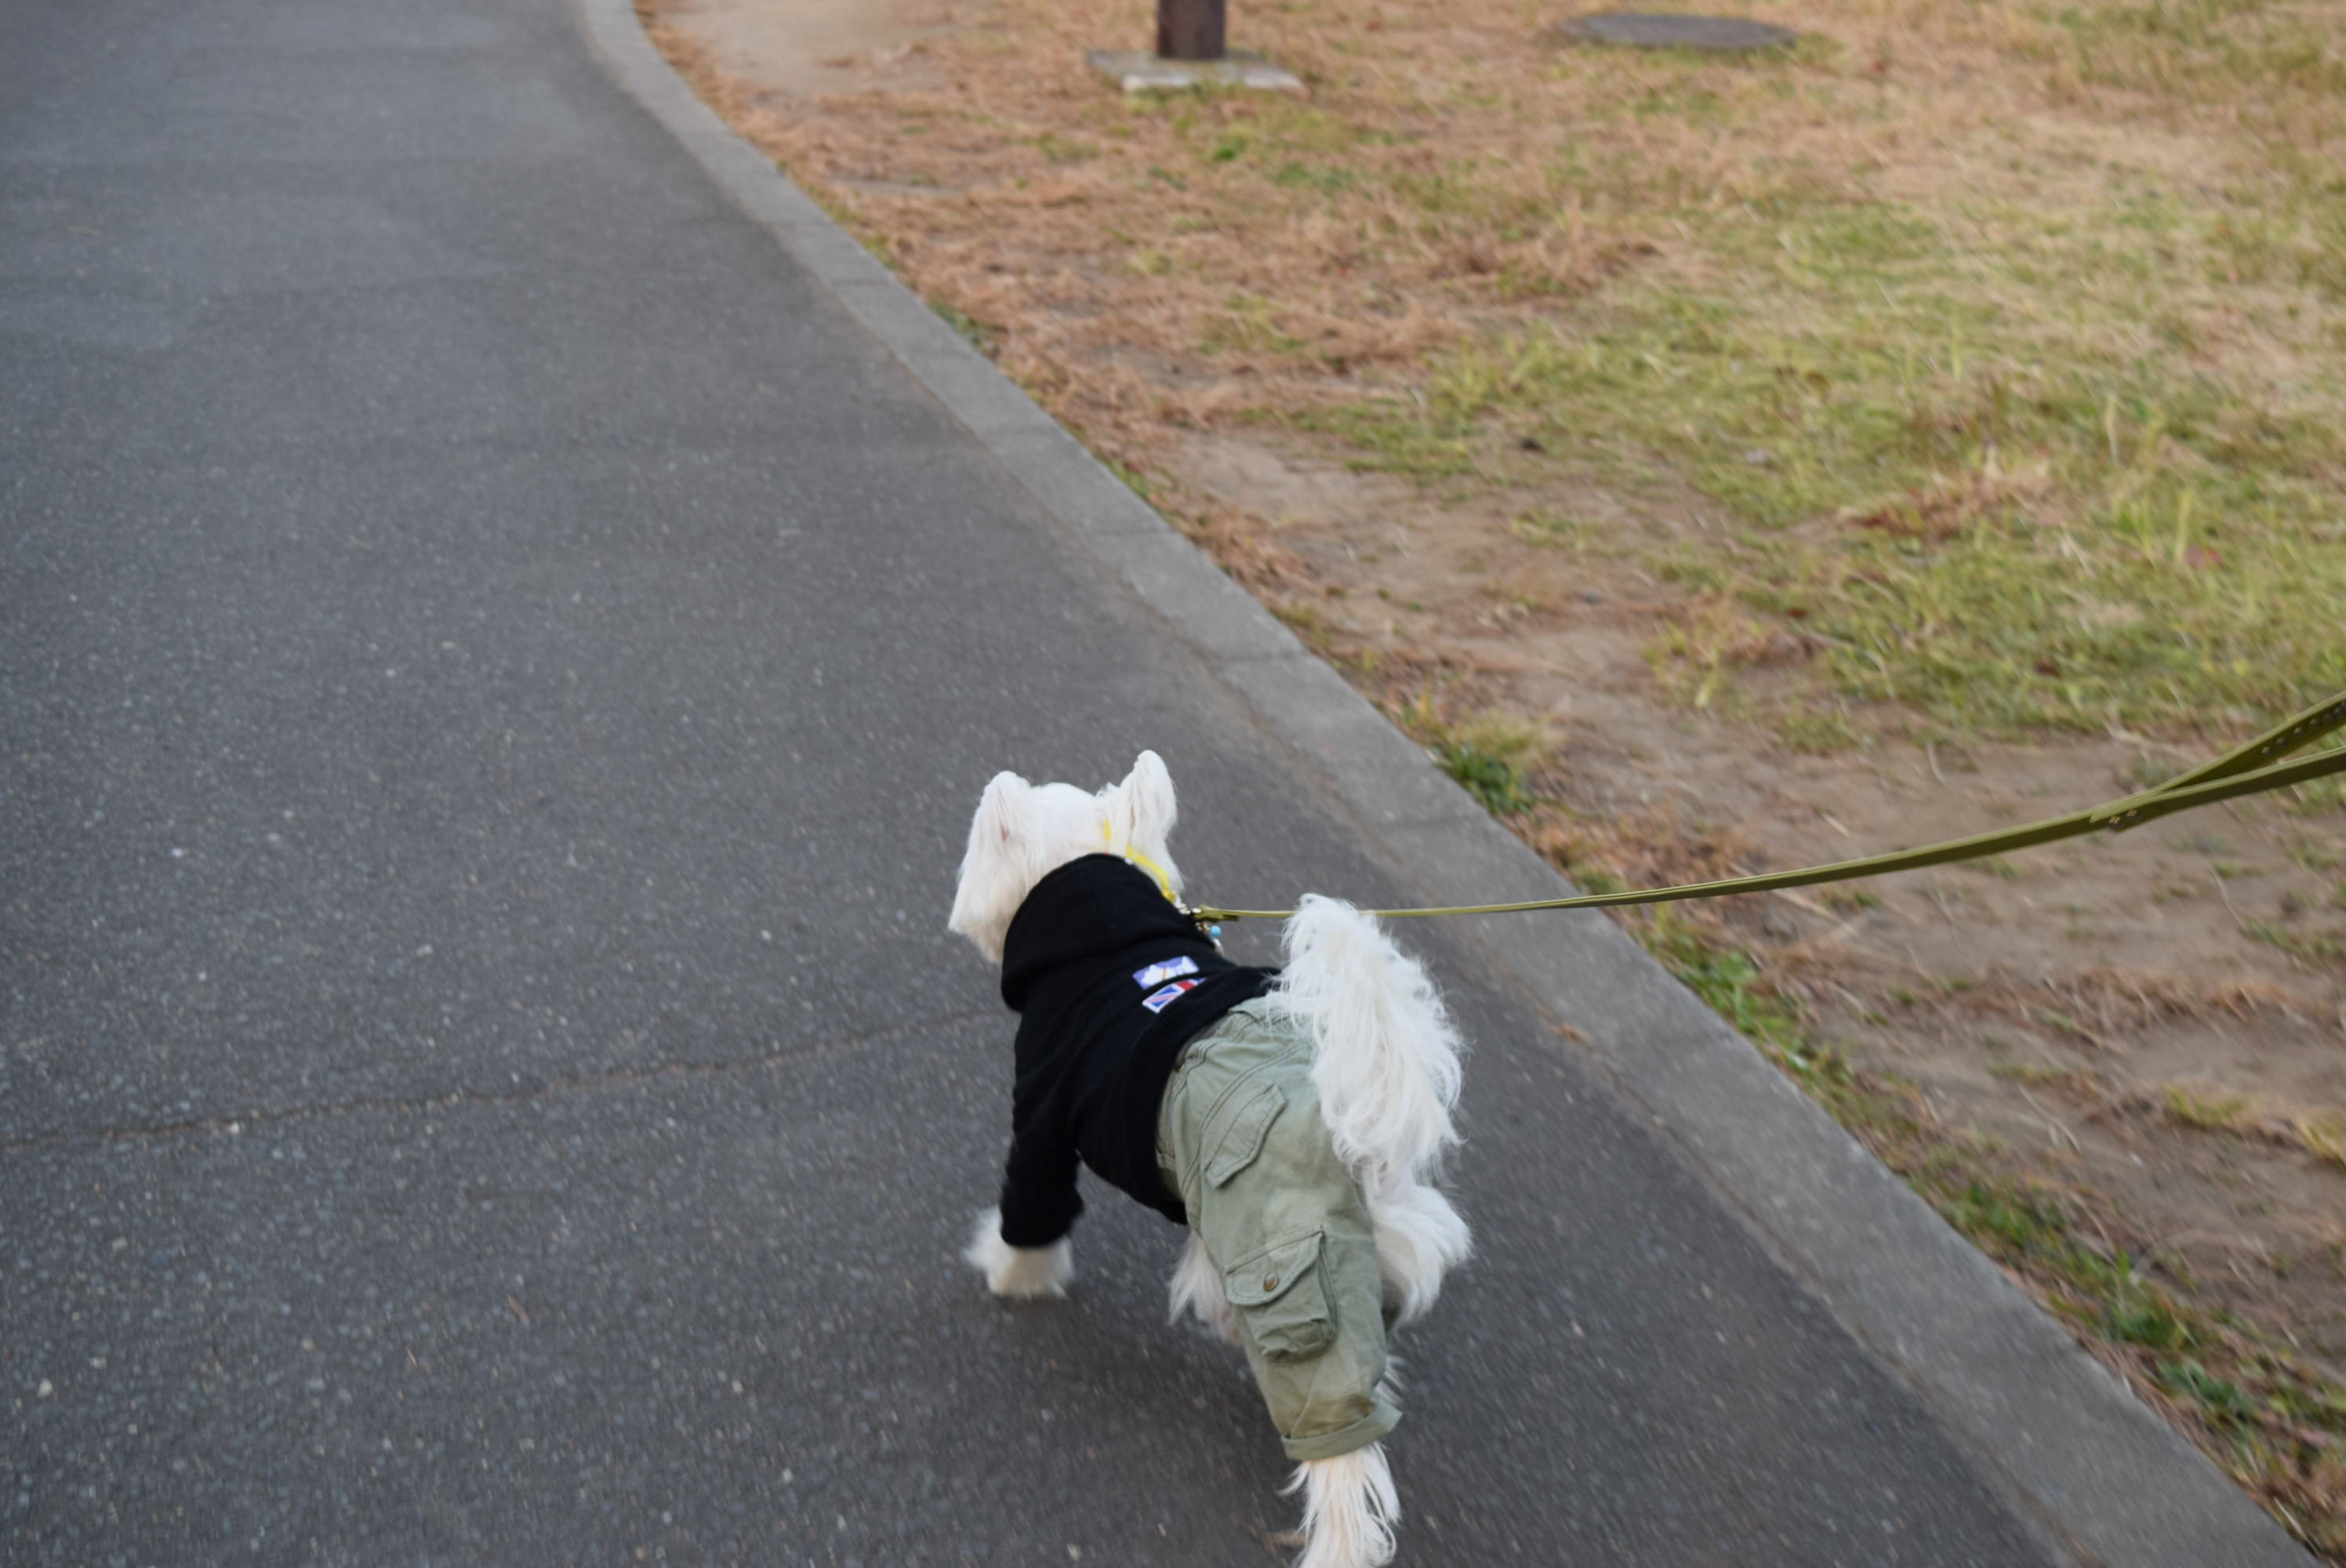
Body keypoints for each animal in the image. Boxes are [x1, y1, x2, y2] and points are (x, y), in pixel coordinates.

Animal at [947, 751, 1464, 1559]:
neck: (1103, 930)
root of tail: (1343, 1116)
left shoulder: (1038, 1122)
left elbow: (1031, 1209)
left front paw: (1014, 1277)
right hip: (1374, 1235)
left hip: (1280, 1261)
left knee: (1338, 1453)